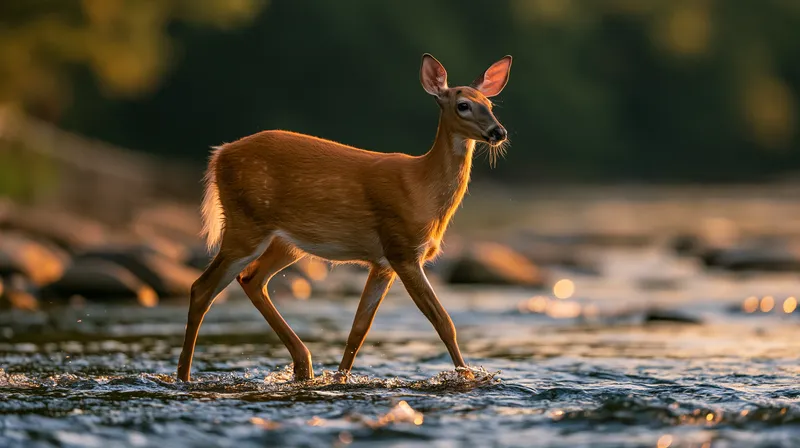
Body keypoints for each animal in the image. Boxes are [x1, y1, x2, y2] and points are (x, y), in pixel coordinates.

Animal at [177, 53, 512, 383]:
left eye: (490, 104)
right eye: (463, 105)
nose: (499, 132)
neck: (422, 188)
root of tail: (219, 154)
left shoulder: (382, 263)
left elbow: (358, 329)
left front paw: (340, 379)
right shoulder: (401, 248)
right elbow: (443, 321)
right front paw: (469, 377)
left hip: (286, 243)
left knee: (251, 279)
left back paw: (304, 365)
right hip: (245, 224)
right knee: (202, 288)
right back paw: (184, 377)